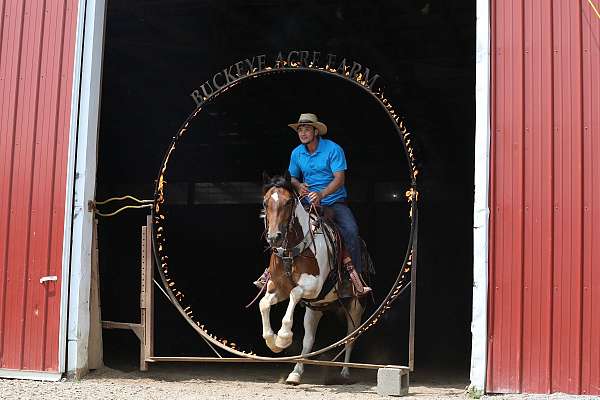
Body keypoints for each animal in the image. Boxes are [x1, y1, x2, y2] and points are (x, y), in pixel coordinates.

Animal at [258, 171, 370, 384]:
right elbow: (264, 303)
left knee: (350, 337)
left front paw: (283, 337)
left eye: (288, 202)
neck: (293, 250)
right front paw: (273, 342)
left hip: (355, 306)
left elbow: (295, 293)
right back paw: (296, 372)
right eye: (266, 202)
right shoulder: (278, 287)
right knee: (308, 341)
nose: (274, 237)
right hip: (316, 308)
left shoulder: (314, 286)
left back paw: (345, 371)